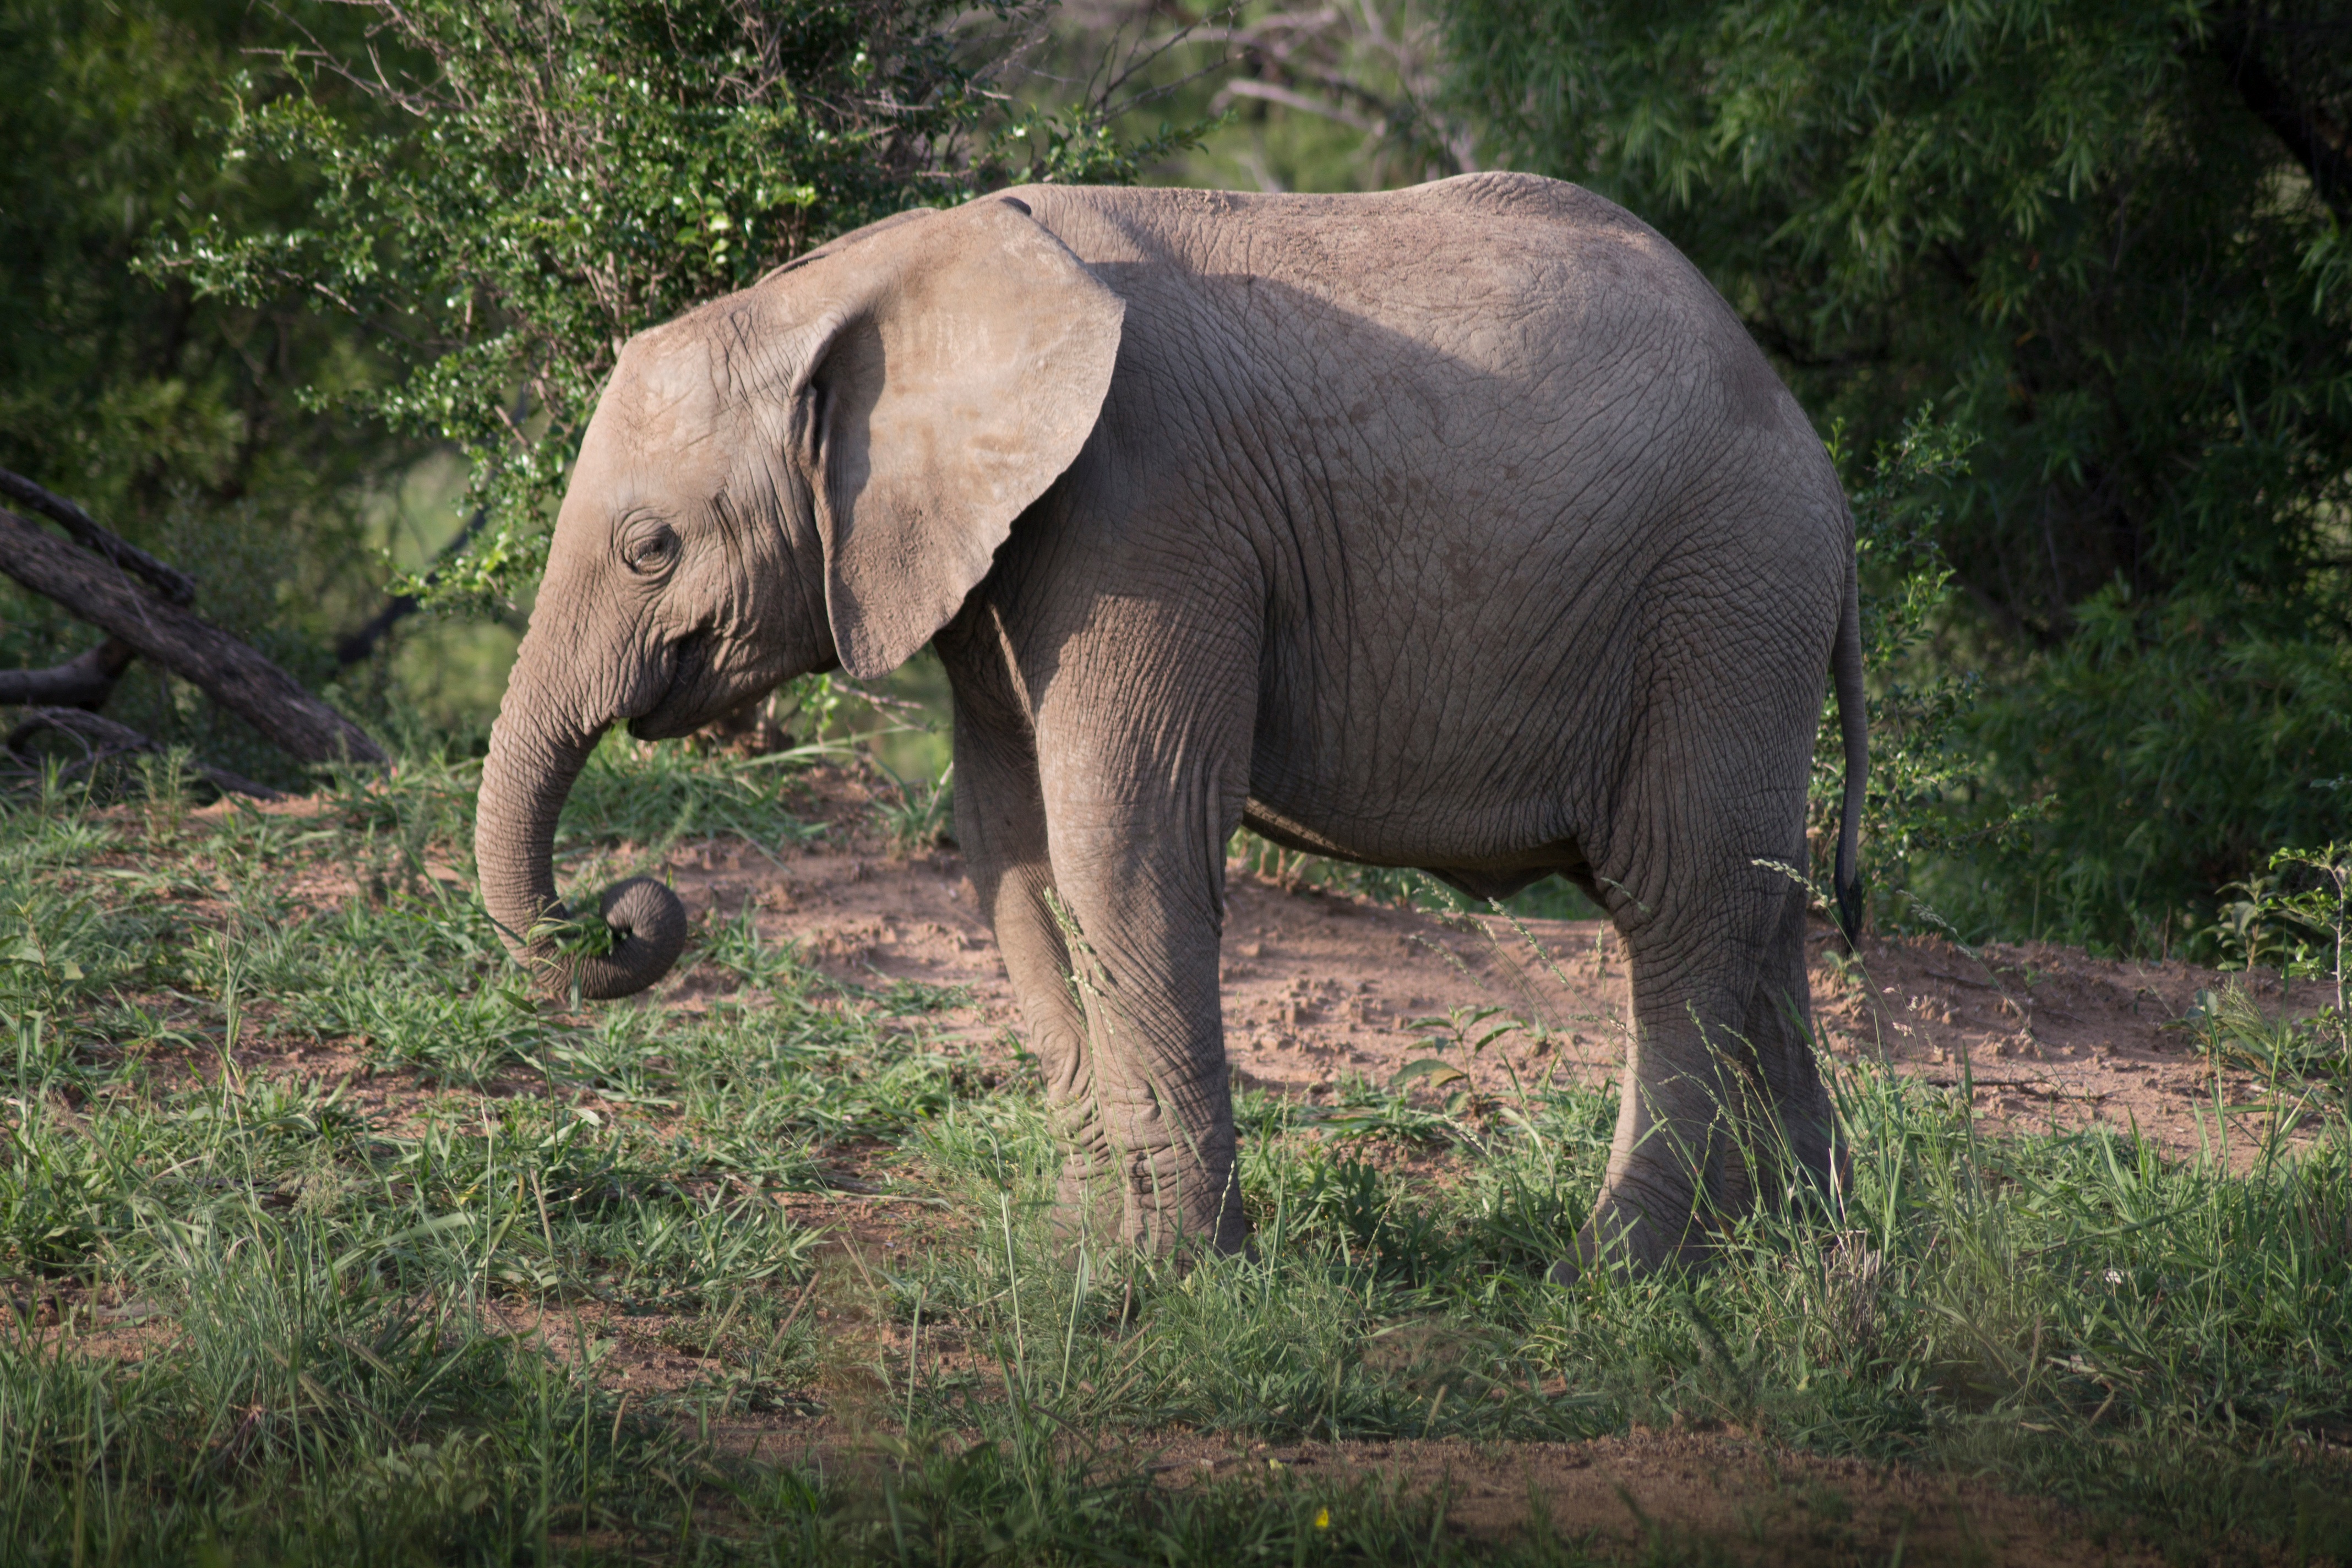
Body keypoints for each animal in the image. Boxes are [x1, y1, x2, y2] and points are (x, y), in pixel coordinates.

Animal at [482, 175, 1872, 1278]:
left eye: (650, 547)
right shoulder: (1003, 557)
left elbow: (1123, 838)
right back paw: (1813, 1254)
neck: (888, 271)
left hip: (1725, 597)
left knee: (1680, 900)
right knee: (1757, 907)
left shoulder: (1147, 513)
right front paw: (1077, 1256)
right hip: (1737, 616)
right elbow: (1010, 850)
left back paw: (1615, 1272)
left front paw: (1175, 1280)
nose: (631, 908)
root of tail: (1821, 460)